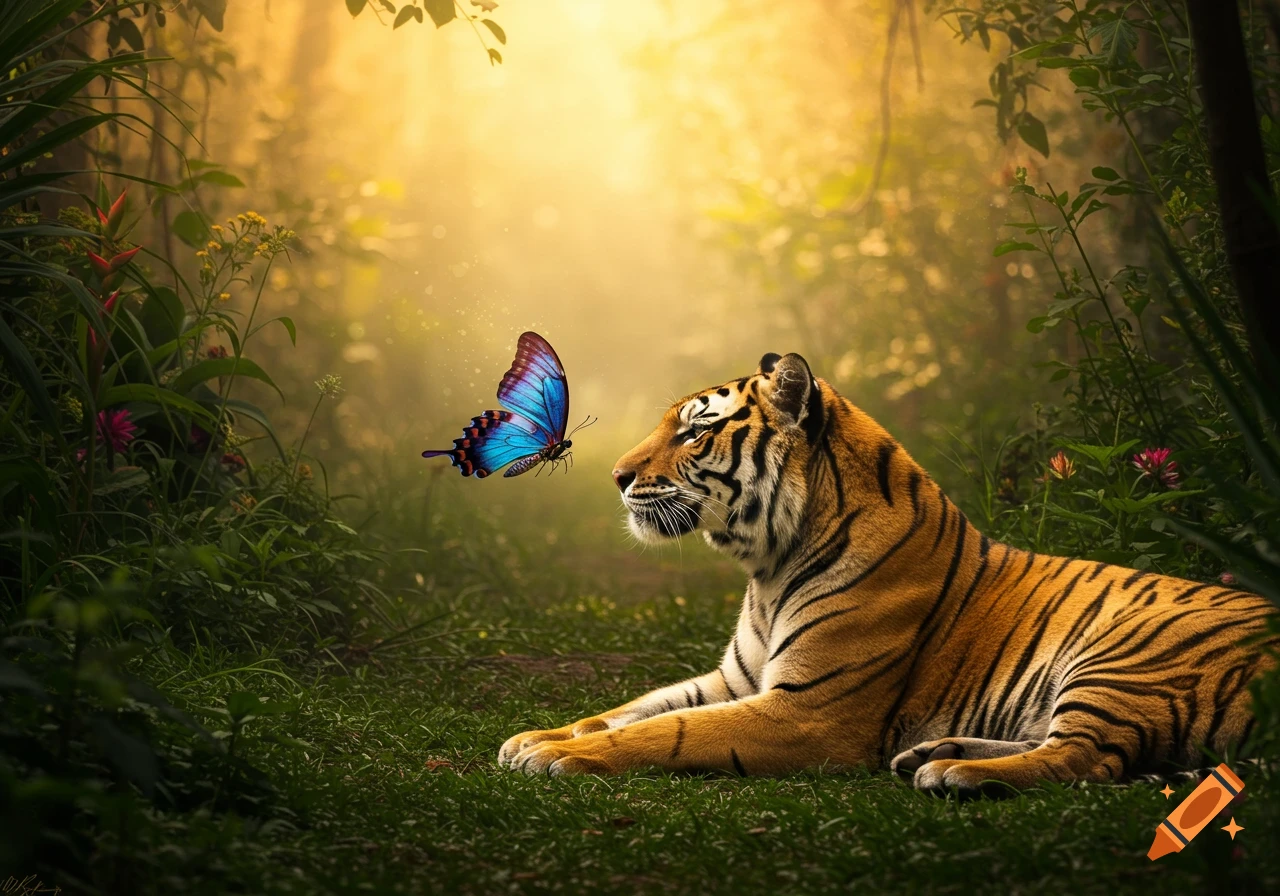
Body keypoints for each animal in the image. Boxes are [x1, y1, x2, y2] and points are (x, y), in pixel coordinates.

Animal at [497, 351, 1277, 791]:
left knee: (1089, 759)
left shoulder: (807, 710)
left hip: (1128, 657)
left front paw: (555, 757)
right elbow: (630, 708)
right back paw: (931, 753)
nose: (617, 477)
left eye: (695, 430)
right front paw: (537, 737)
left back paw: (953, 771)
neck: (767, 568)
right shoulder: (736, 681)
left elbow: (669, 731)